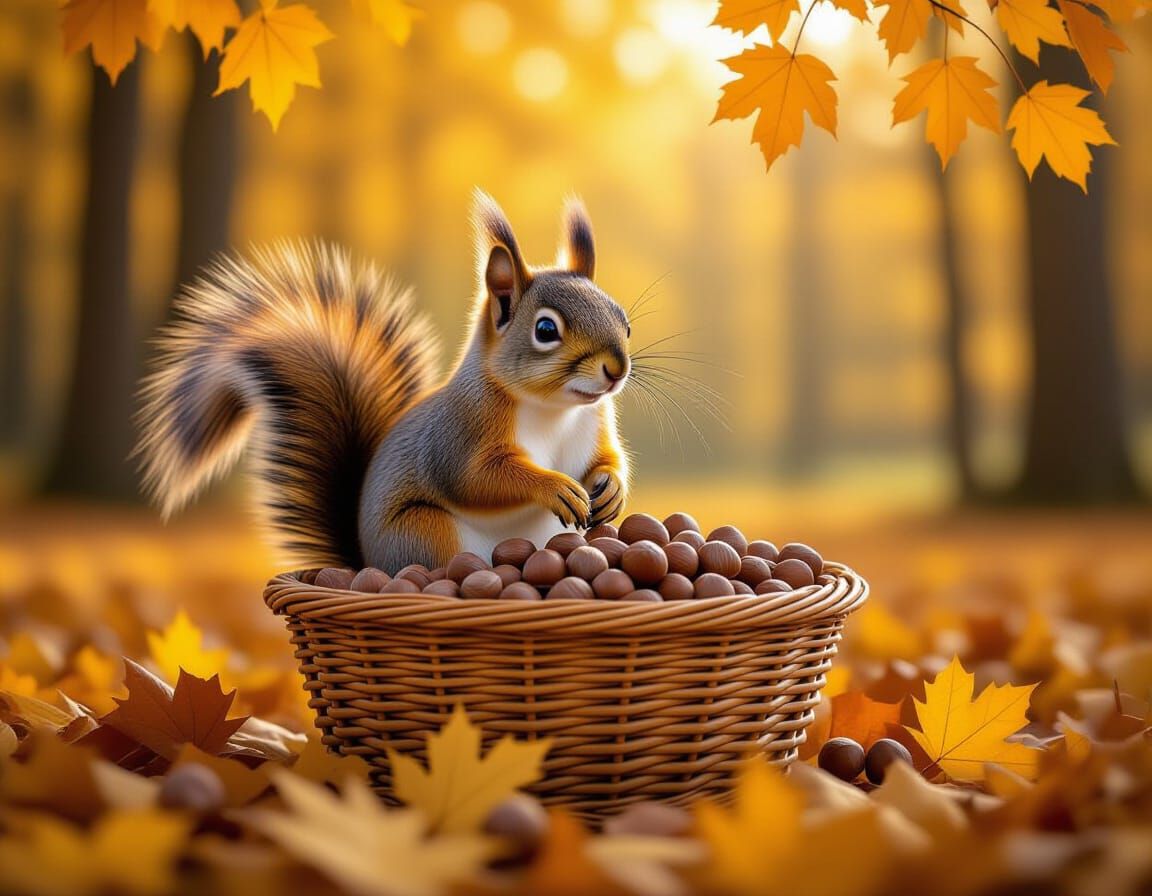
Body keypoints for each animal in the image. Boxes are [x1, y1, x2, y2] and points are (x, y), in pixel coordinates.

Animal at [136, 191, 631, 573]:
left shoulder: (595, 422)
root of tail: (364, 561)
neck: (555, 410)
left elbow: (605, 459)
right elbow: (476, 477)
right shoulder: (462, 430)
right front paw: (553, 486)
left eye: (622, 317)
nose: (617, 369)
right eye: (545, 329)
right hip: (424, 534)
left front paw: (611, 488)